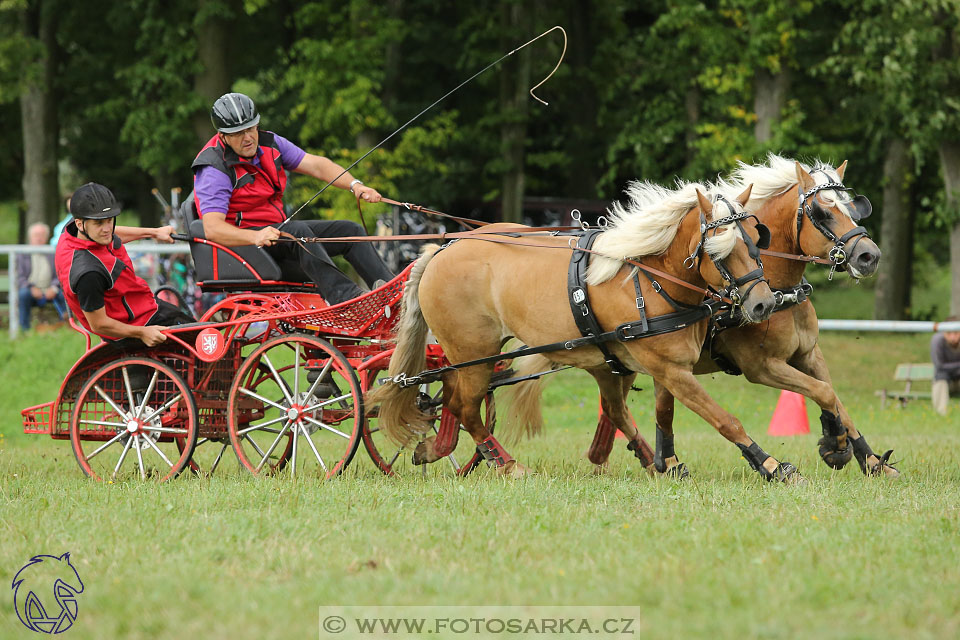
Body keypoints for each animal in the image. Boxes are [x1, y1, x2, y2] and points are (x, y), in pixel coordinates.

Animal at [368, 182, 804, 482]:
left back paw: (438, 449)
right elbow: (723, 418)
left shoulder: (652, 365)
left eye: (757, 240)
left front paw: (664, 462)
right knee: (464, 407)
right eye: (719, 250)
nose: (764, 304)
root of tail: (442, 249)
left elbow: (655, 413)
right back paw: (506, 464)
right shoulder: (670, 369)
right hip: (472, 353)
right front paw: (771, 465)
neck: (650, 278)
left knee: (449, 399)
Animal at [584, 155, 900, 476]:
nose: (869, 256)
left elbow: (834, 397)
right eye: (822, 212)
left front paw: (871, 460)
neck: (778, 289)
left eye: (853, 207)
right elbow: (823, 392)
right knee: (616, 410)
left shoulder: (809, 354)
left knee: (615, 410)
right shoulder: (762, 366)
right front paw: (834, 445)